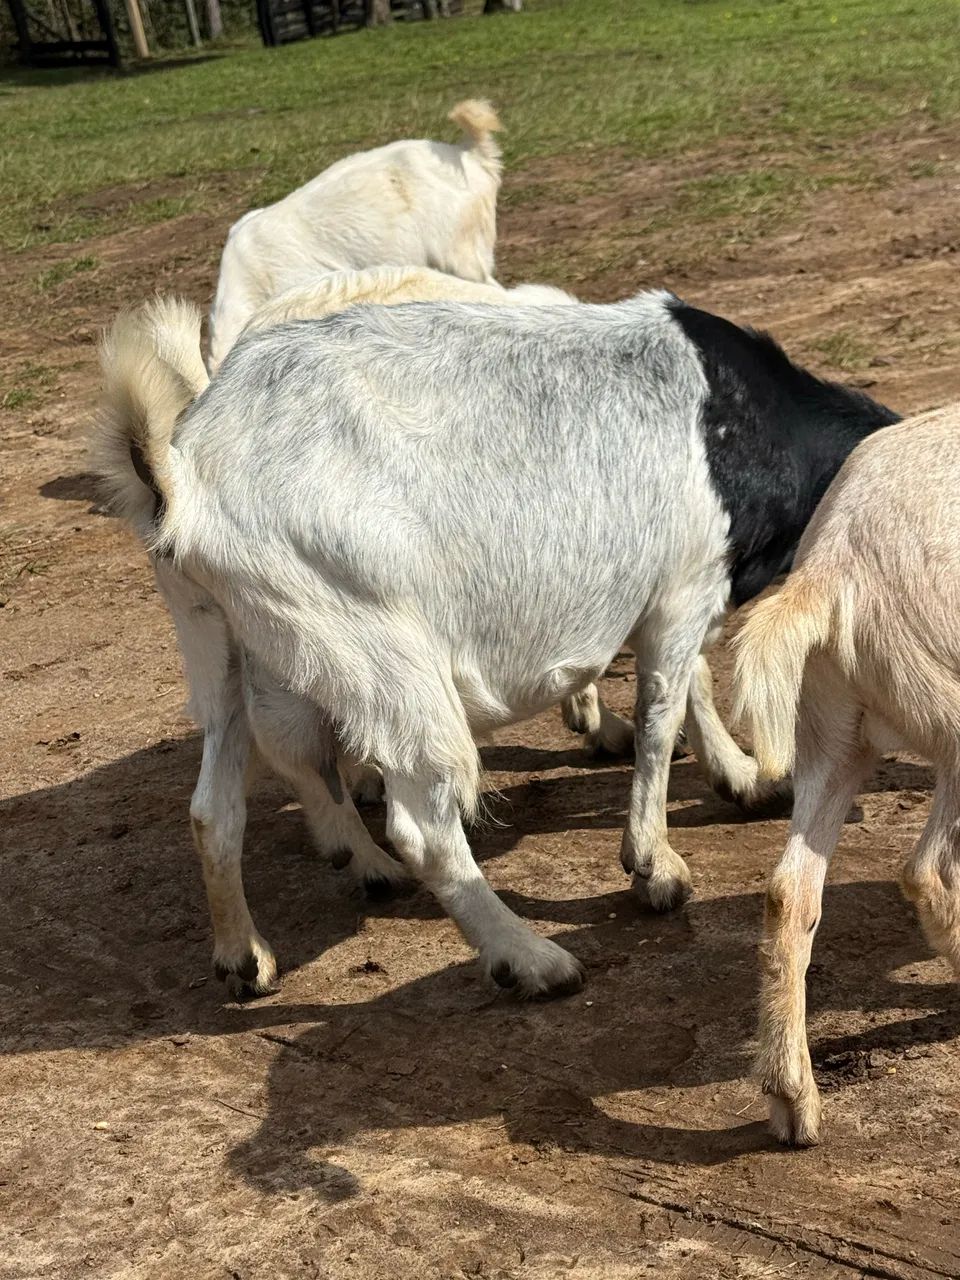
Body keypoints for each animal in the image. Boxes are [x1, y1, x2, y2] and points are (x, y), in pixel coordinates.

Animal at [94, 292, 897, 1000]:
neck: (742, 424)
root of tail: (184, 476)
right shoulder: (684, 588)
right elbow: (661, 714)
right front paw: (656, 865)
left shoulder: (671, 599)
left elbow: (690, 685)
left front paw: (743, 779)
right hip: (383, 659)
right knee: (422, 827)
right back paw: (528, 958)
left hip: (227, 649)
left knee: (217, 807)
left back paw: (252, 951)